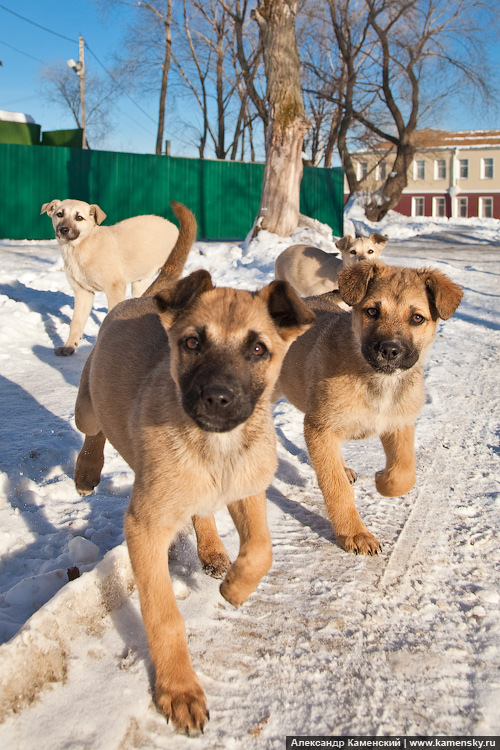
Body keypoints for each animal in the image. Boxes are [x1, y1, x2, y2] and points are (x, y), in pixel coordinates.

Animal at [41, 197, 180, 356]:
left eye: (79, 217)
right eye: (59, 214)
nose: (63, 229)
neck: (82, 247)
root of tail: (172, 225)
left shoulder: (115, 288)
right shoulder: (83, 292)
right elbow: (76, 322)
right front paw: (69, 346)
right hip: (140, 283)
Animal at [71, 206, 312, 736]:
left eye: (258, 350)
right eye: (193, 342)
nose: (217, 398)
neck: (215, 447)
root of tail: (144, 297)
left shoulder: (247, 491)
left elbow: (262, 550)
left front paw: (236, 587)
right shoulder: (145, 527)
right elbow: (164, 615)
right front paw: (178, 690)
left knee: (203, 511)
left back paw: (214, 550)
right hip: (89, 407)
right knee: (91, 429)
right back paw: (87, 469)